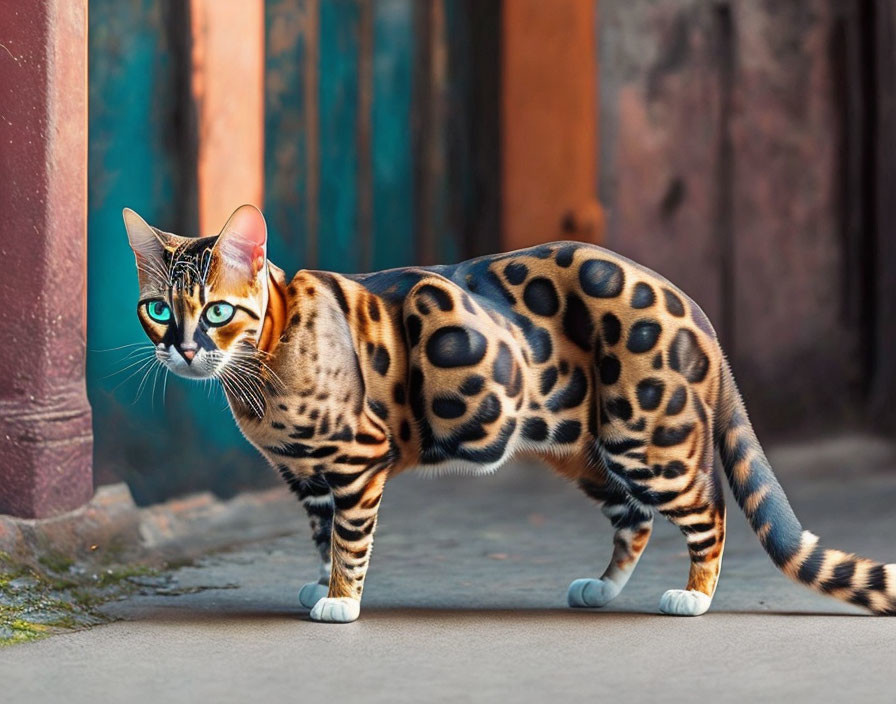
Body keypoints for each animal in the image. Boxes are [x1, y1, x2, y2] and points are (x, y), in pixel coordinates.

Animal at [122, 204, 892, 620]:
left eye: (217, 313)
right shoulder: (307, 477)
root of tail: (692, 302)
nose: (182, 348)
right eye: (158, 309)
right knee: (634, 517)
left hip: (649, 438)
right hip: (588, 448)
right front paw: (319, 581)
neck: (258, 381)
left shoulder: (357, 461)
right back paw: (603, 588)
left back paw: (694, 595)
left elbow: (351, 539)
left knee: (711, 508)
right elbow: (322, 535)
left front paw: (340, 598)